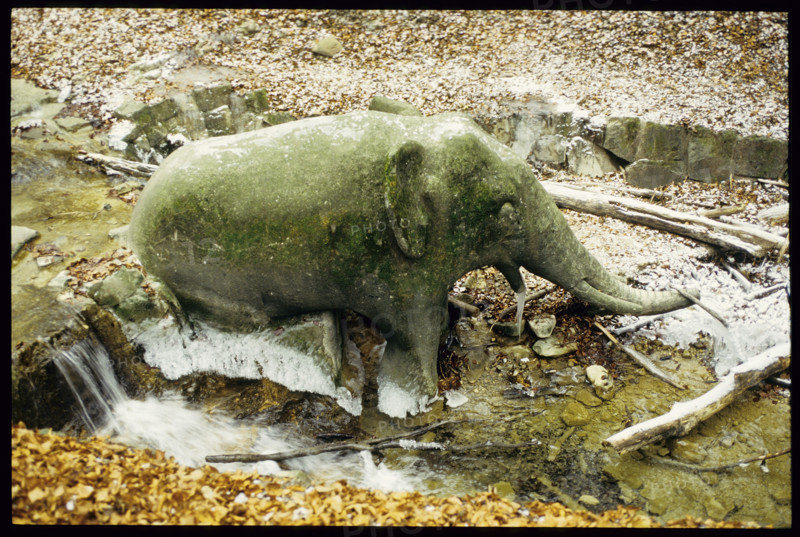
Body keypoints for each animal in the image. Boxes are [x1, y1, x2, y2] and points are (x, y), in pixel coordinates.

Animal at [129, 110, 694, 417]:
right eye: (505, 211)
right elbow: (415, 333)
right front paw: (415, 403)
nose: (694, 294)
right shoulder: (391, 265)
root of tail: (133, 227)